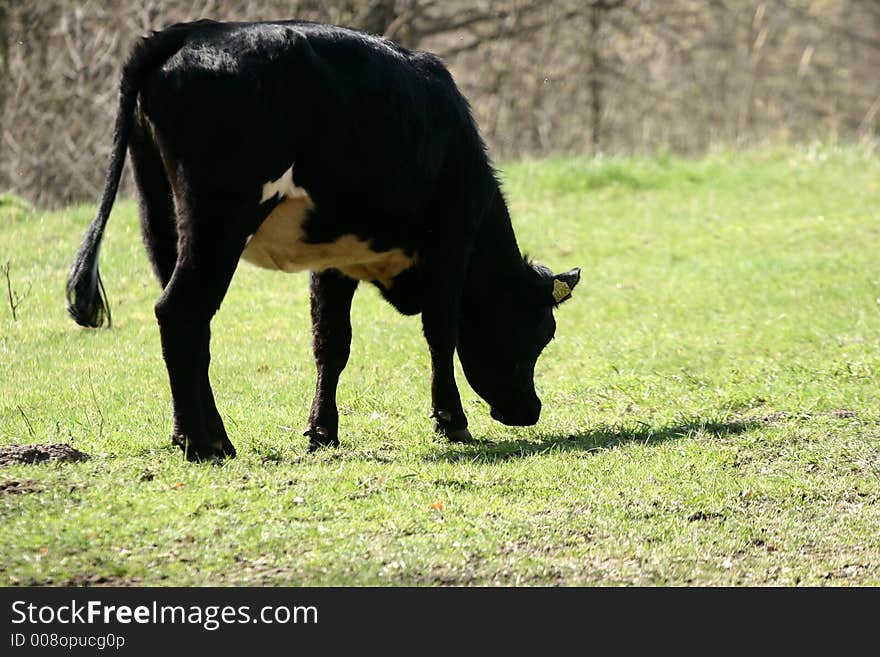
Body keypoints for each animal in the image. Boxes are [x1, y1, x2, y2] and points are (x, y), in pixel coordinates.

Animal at [65, 20, 580, 462]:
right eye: (542, 333)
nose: (530, 410)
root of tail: (192, 31)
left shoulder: (332, 257)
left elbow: (331, 343)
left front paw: (322, 431)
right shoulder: (449, 243)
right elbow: (441, 333)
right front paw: (452, 422)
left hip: (159, 209)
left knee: (190, 327)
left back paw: (196, 435)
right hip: (218, 218)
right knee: (180, 312)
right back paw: (205, 444)